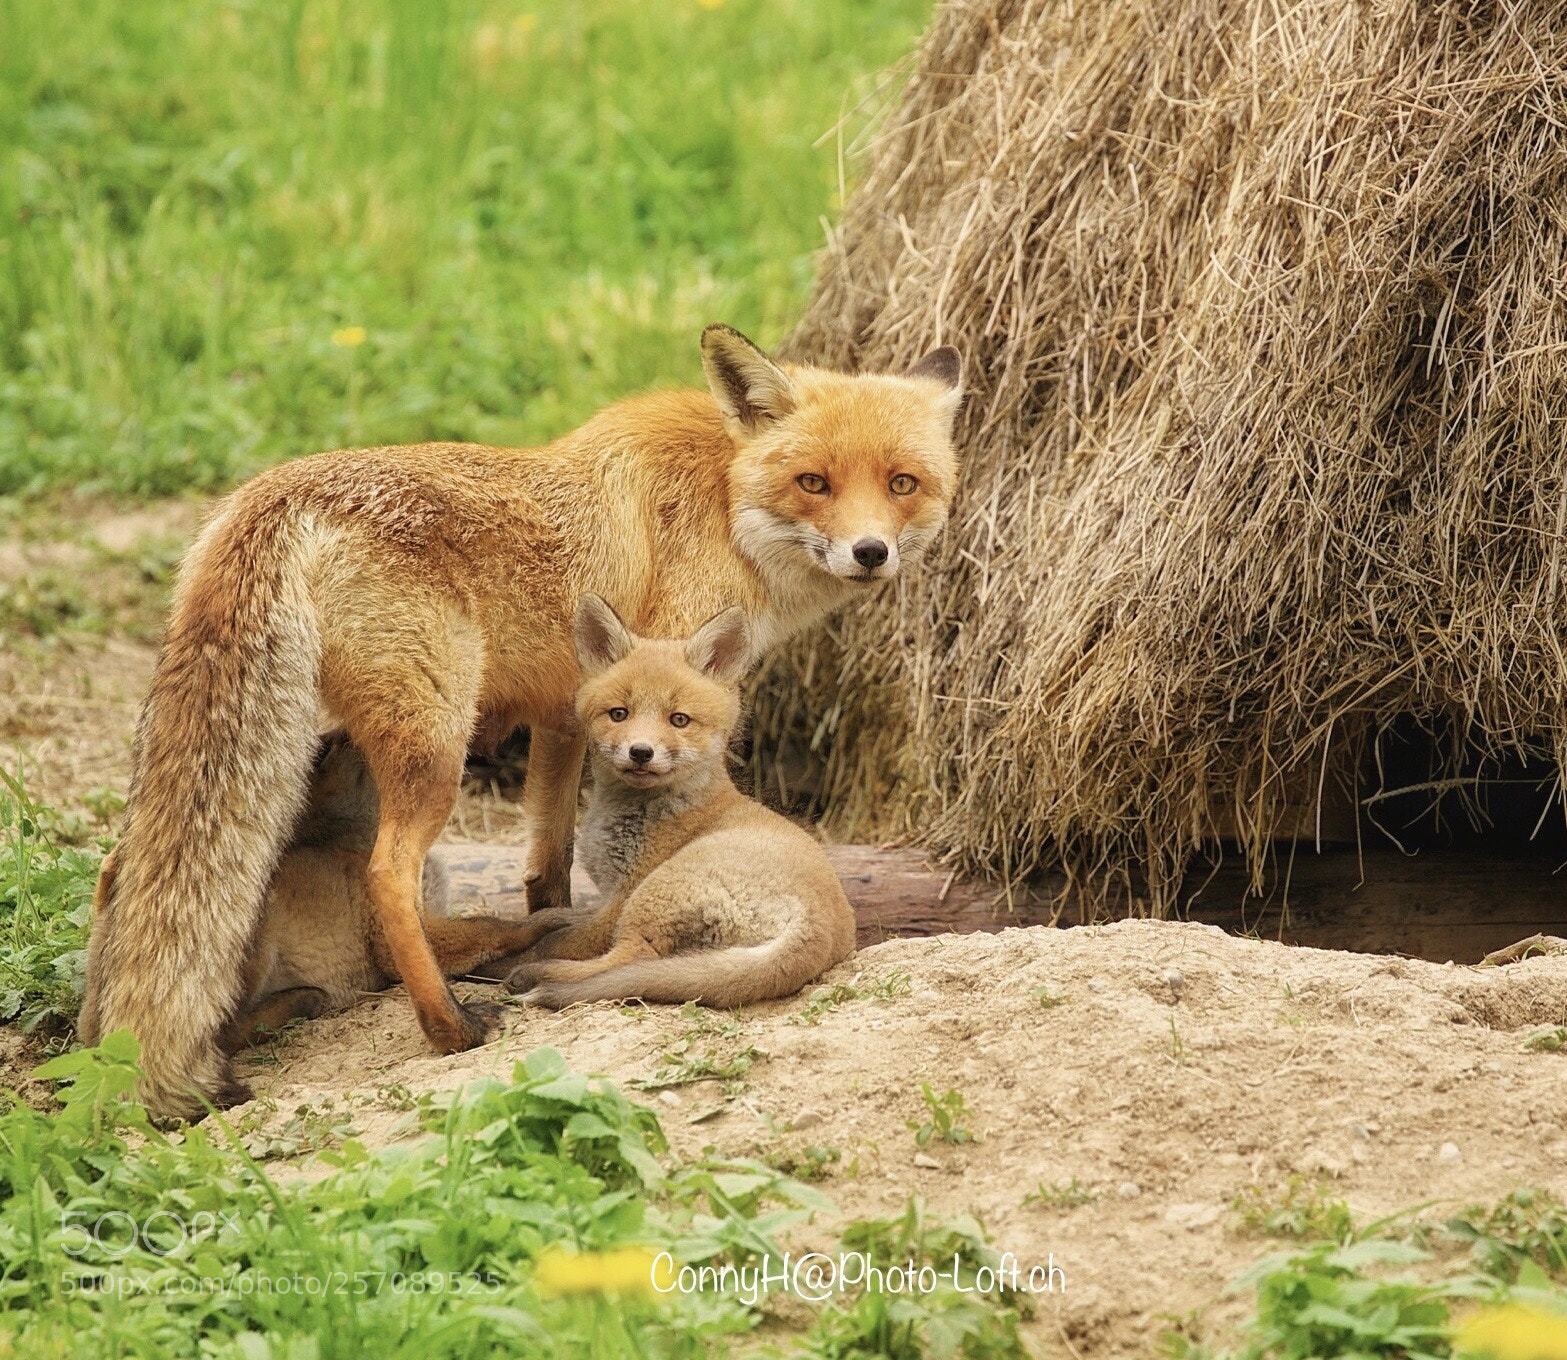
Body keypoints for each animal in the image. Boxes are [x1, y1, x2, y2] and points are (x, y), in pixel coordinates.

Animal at [499, 596, 858, 1009]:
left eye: (679, 720)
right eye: (619, 714)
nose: (641, 752)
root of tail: (816, 928)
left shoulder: (623, 896)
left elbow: (559, 941)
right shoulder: (609, 896)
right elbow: (559, 920)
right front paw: (536, 923)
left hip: (655, 893)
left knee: (627, 960)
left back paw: (538, 977)